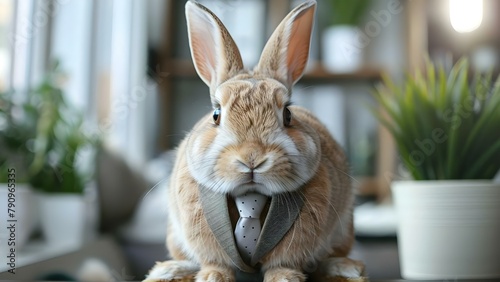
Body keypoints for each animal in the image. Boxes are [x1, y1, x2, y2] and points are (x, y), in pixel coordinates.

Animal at [145, 0, 364, 282]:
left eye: (288, 115)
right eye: (216, 115)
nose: (252, 158)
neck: (250, 197)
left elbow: (284, 262)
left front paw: (284, 278)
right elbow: (216, 261)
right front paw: (213, 277)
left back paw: (347, 267)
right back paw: (169, 269)